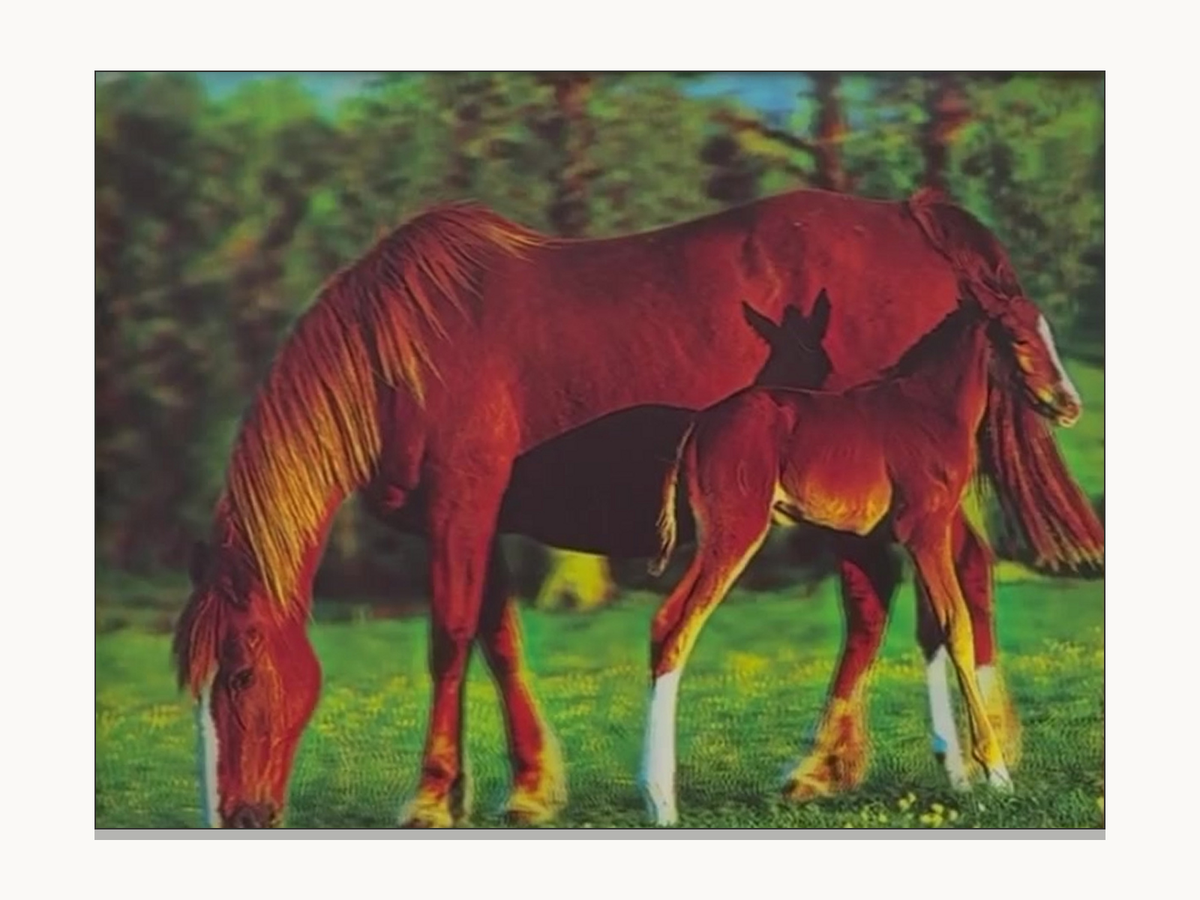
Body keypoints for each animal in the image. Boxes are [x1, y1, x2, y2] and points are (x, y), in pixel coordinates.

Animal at [642, 292, 1051, 825]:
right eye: (1019, 338)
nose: (1065, 403)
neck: (933, 407)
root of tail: (696, 428)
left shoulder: (907, 539)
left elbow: (929, 629)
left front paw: (959, 774)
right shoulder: (923, 531)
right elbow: (954, 624)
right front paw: (995, 773)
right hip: (733, 535)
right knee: (675, 625)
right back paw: (661, 800)